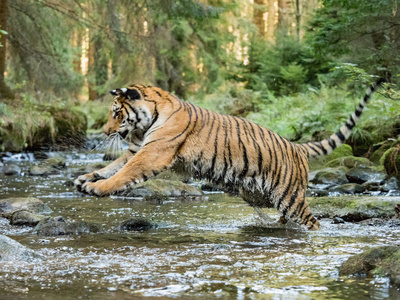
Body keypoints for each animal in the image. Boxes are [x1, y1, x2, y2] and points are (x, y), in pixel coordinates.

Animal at [73, 82, 382, 230]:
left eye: (116, 113)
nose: (104, 131)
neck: (148, 120)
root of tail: (297, 146)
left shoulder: (152, 152)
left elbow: (124, 173)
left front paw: (98, 188)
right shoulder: (139, 148)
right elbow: (113, 165)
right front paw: (86, 177)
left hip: (290, 197)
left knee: (311, 222)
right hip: (260, 195)